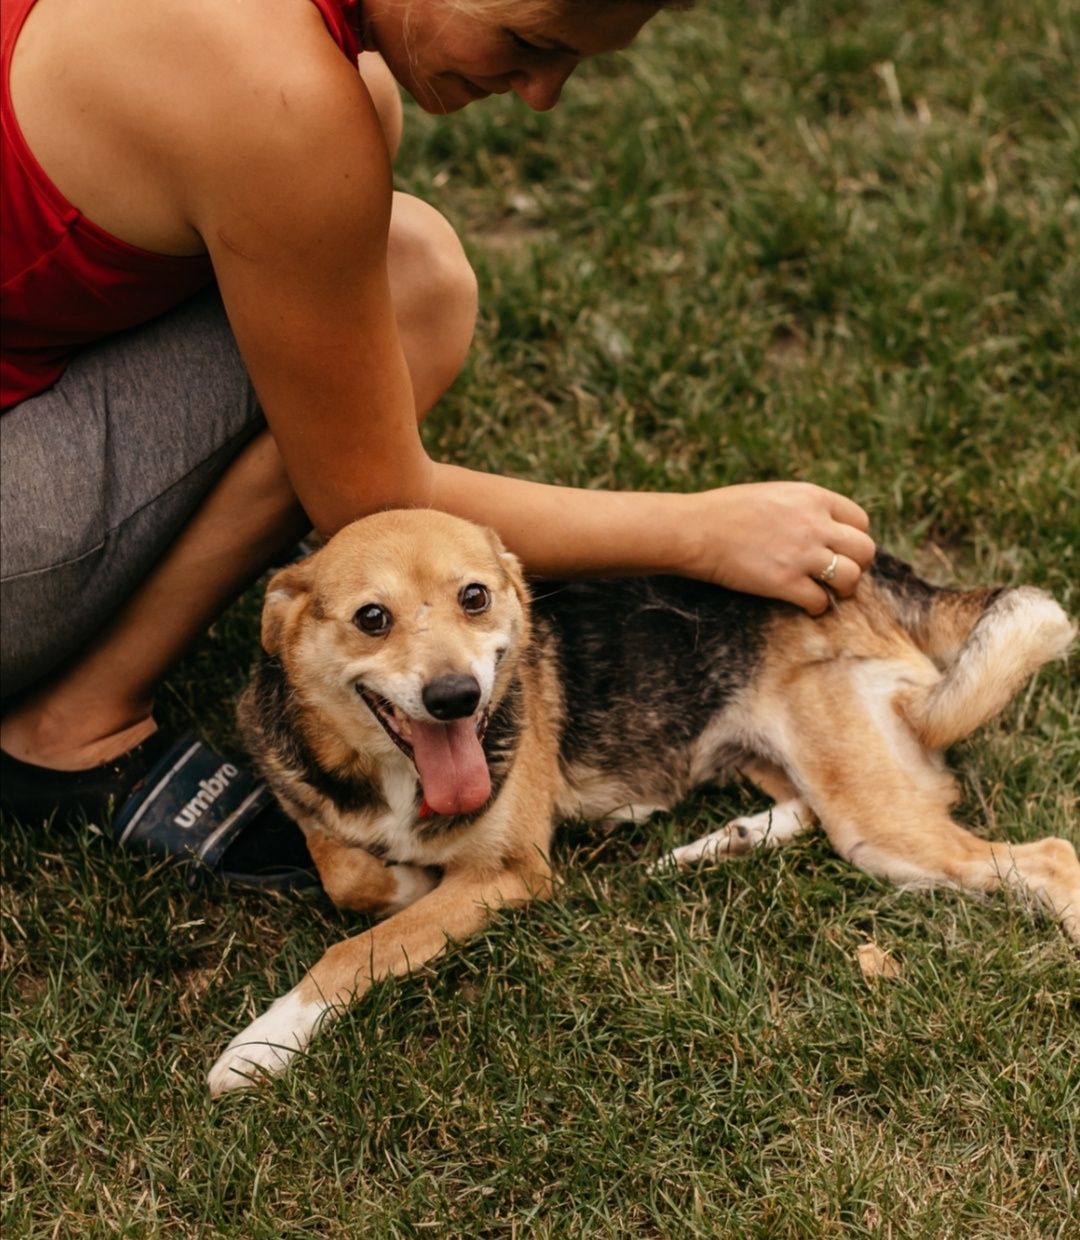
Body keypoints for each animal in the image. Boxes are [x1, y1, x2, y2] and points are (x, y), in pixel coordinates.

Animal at [207, 508, 1076, 1091]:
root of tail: (882, 573)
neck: (391, 767)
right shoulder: (310, 795)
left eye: (474, 598)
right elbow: (347, 873)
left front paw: (262, 1043)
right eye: (372, 618)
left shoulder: (509, 873)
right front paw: (397, 878)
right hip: (779, 757)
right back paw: (714, 843)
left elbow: (357, 947)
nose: (457, 697)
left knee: (1048, 855)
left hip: (872, 815)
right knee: (801, 810)